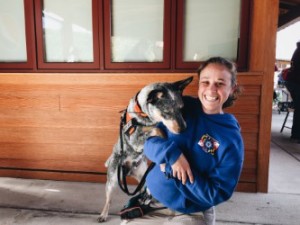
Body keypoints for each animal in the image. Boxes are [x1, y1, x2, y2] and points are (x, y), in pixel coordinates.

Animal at [97, 76, 193, 222]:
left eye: (181, 109)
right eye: (167, 112)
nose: (183, 129)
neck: (142, 113)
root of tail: (127, 171)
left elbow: (159, 128)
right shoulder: (135, 139)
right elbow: (157, 129)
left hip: (143, 176)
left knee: (146, 191)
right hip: (113, 179)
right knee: (109, 199)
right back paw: (103, 214)